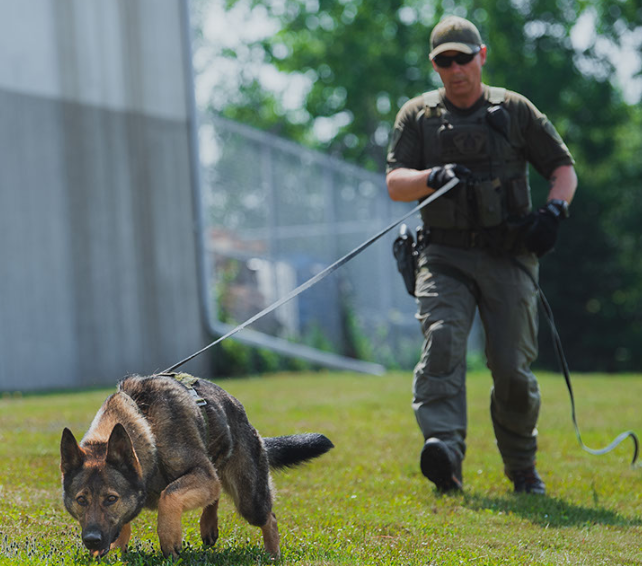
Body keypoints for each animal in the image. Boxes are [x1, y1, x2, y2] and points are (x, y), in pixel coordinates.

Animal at [58, 374, 336, 560]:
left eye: (110, 499)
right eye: (81, 500)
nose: (91, 540)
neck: (146, 424)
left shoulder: (198, 475)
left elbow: (169, 495)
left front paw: (169, 538)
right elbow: (124, 526)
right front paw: (119, 551)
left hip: (249, 499)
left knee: (269, 516)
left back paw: (272, 554)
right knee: (215, 494)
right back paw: (209, 525)